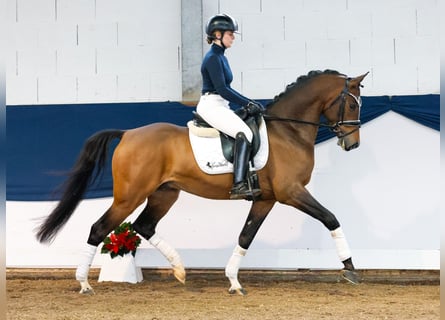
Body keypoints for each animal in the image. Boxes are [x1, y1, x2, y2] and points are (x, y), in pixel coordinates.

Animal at [36, 69, 368, 296]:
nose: (352, 145)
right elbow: (330, 218)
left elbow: (245, 236)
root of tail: (128, 133)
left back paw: (180, 269)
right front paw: (350, 269)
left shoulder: (266, 199)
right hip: (129, 196)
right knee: (100, 228)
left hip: (164, 194)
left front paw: (233, 281)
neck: (288, 131)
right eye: (353, 106)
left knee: (143, 226)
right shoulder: (291, 192)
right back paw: (84, 284)